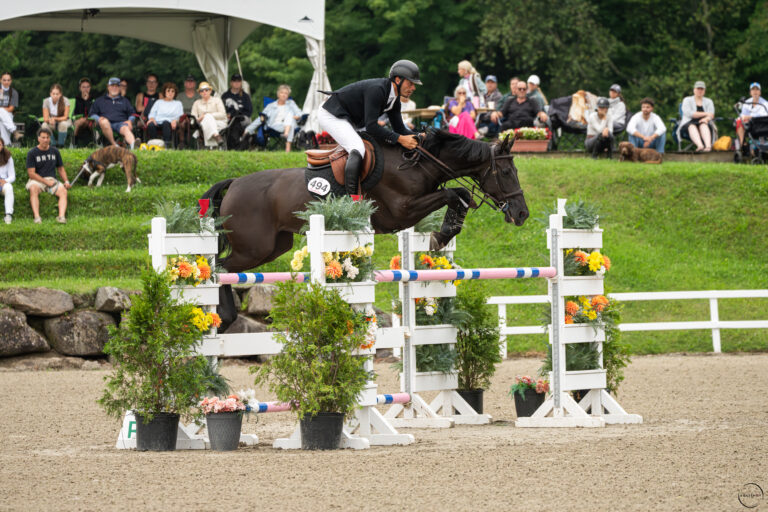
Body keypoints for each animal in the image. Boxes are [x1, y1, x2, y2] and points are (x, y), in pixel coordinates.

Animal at [201, 129, 529, 326]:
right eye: (505, 171)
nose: (522, 213)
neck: (418, 164)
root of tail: (235, 183)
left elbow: (461, 195)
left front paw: (445, 231)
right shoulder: (401, 212)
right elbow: (453, 193)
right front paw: (442, 233)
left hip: (274, 246)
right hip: (253, 247)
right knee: (221, 267)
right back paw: (225, 315)